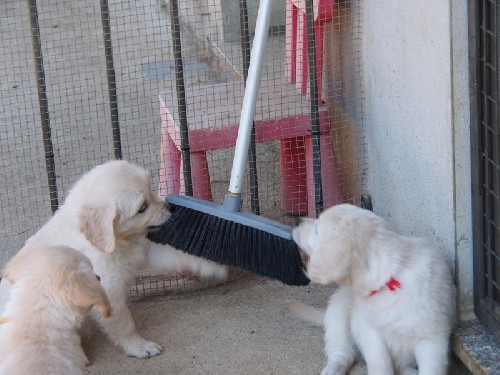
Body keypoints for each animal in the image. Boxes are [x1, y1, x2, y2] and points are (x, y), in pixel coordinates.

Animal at [0, 160, 227, 360]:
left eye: (151, 189)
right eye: (142, 207)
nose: (170, 208)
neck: (117, 242)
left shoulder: (145, 249)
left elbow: (175, 255)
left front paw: (211, 267)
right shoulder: (108, 290)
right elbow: (124, 325)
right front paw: (140, 347)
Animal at [290, 206, 458, 375]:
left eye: (317, 230)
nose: (297, 221)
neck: (388, 278)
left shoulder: (432, 337)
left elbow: (431, 369)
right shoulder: (368, 328)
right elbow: (379, 360)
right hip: (339, 311)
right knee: (341, 352)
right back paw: (333, 369)